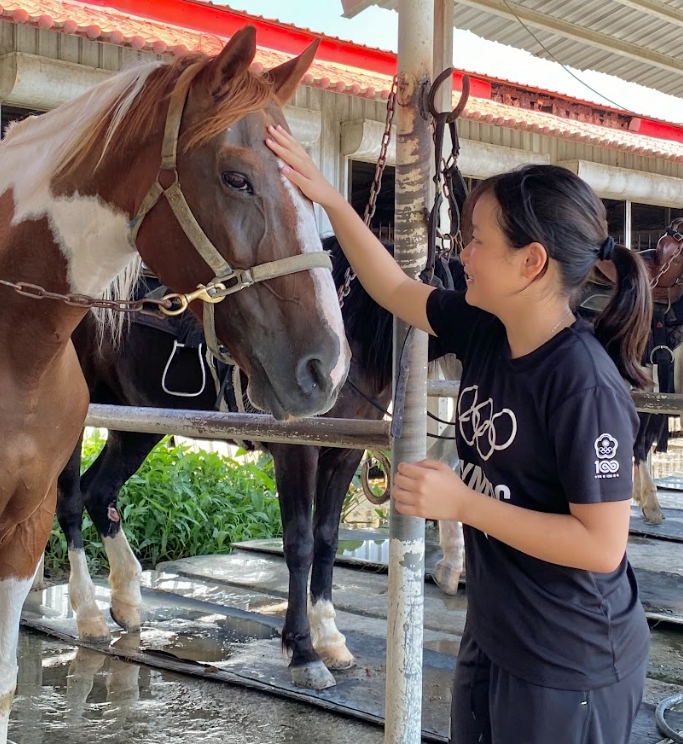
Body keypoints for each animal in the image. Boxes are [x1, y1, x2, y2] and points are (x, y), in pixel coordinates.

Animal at [0, 26, 350, 741]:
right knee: (80, 497)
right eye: (236, 176)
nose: (325, 367)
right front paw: (307, 650)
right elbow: (303, 541)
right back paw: (93, 610)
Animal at [56, 236, 464, 690]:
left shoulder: (344, 453)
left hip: (138, 422)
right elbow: (300, 544)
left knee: (99, 491)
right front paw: (304, 652)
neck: (352, 335)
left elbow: (326, 540)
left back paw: (126, 600)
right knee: (70, 501)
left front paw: (331, 639)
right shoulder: (296, 450)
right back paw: (89, 615)